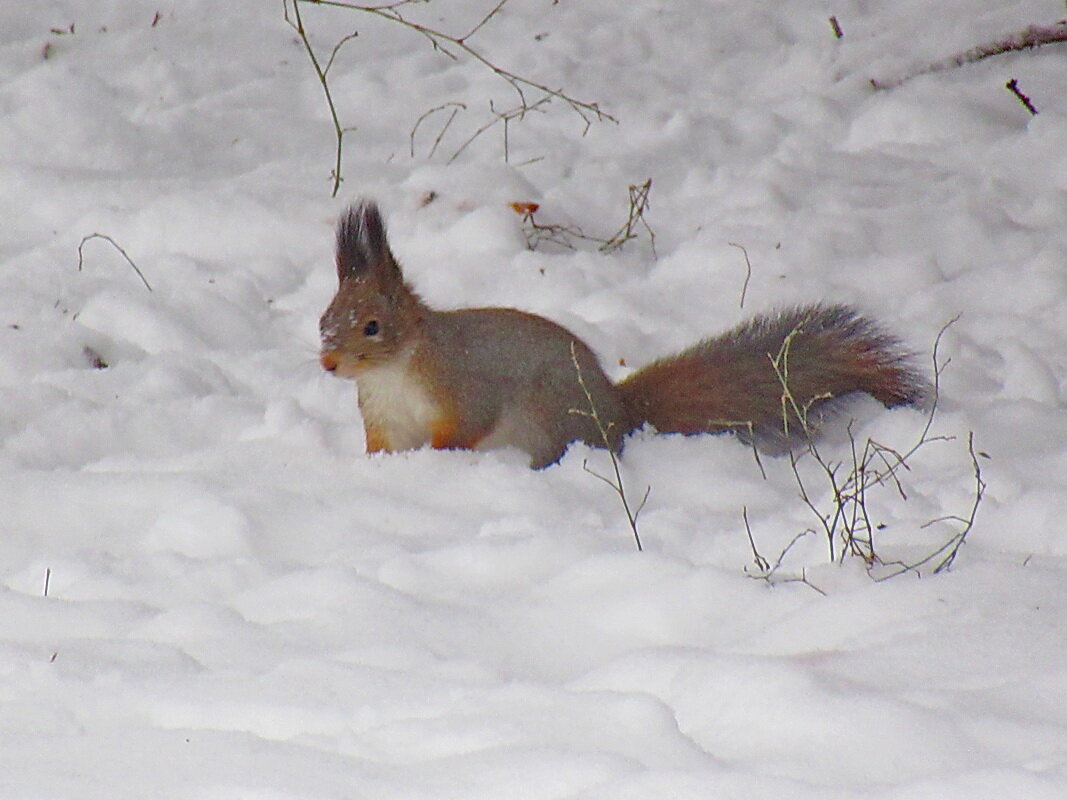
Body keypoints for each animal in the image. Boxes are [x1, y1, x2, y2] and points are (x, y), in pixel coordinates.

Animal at [315, 201, 926, 469]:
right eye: (324, 320)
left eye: (372, 326)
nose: (328, 366)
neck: (395, 371)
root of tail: (617, 413)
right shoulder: (386, 419)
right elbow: (383, 446)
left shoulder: (463, 385)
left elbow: (464, 426)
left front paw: (442, 457)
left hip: (547, 420)